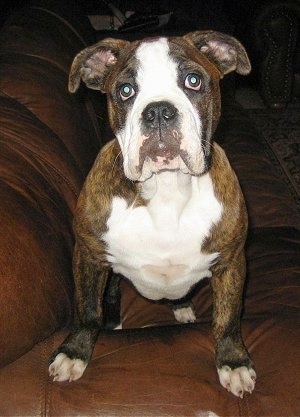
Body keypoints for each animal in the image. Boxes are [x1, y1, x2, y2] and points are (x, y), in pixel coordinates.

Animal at [48, 30, 255, 396]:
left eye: (193, 81)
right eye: (125, 90)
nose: (159, 111)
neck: (166, 188)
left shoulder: (231, 262)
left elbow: (228, 318)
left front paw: (233, 361)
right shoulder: (88, 256)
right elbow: (86, 309)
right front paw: (75, 352)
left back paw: (182, 308)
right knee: (109, 295)